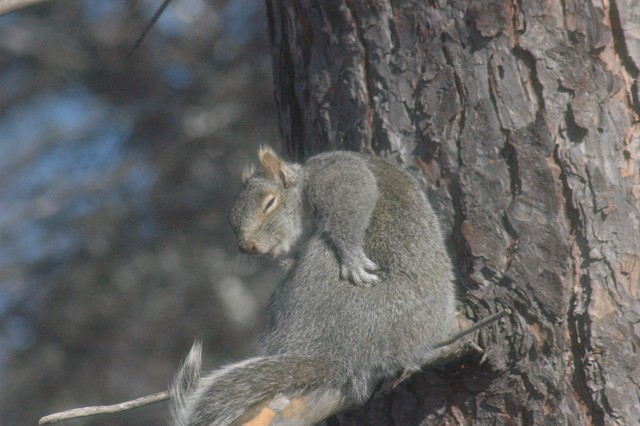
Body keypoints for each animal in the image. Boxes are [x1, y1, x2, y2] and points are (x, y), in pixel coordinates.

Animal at [170, 148, 458, 426]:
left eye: (270, 203)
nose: (247, 247)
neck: (305, 179)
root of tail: (334, 353)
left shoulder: (335, 174)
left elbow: (354, 193)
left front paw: (352, 257)